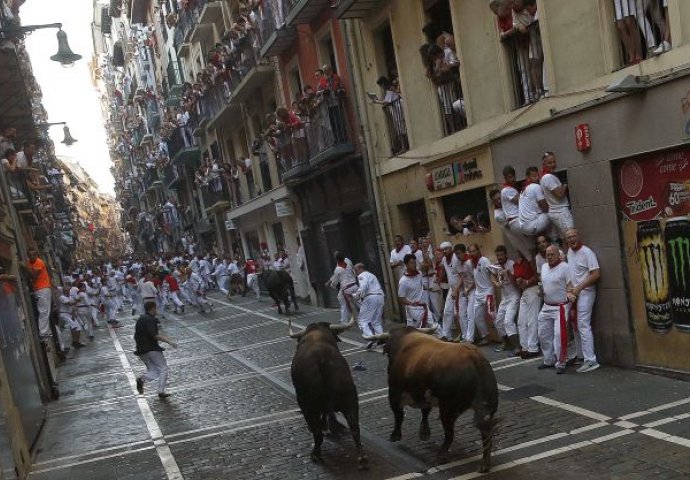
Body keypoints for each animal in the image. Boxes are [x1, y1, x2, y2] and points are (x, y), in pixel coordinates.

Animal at [368, 326, 498, 472]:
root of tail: (475, 357)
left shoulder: (394, 393)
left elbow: (399, 415)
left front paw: (395, 435)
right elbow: (425, 411)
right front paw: (424, 432)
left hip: (448, 408)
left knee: (450, 433)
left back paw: (442, 455)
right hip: (487, 408)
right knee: (486, 433)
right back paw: (484, 464)